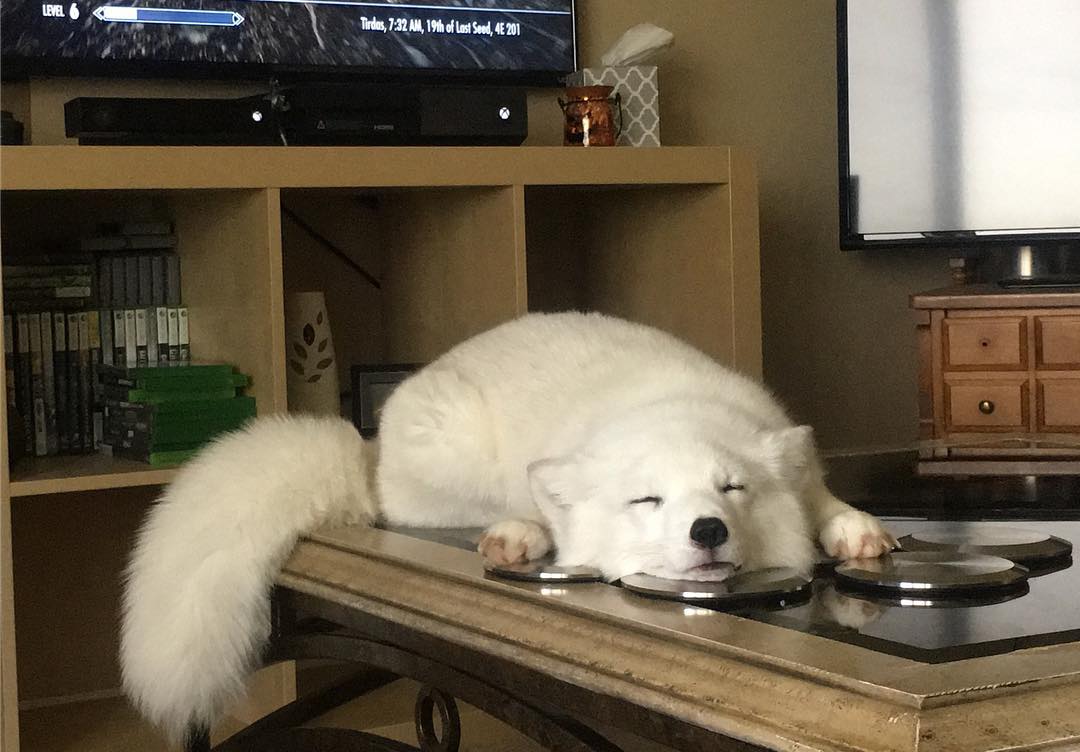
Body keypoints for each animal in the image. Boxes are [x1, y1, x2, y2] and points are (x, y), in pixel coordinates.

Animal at [121, 311, 896, 741]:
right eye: (647, 501)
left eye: (732, 489)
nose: (708, 530)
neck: (669, 404)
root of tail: (367, 448)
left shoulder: (800, 470)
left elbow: (824, 502)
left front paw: (855, 528)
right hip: (452, 466)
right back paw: (516, 530)